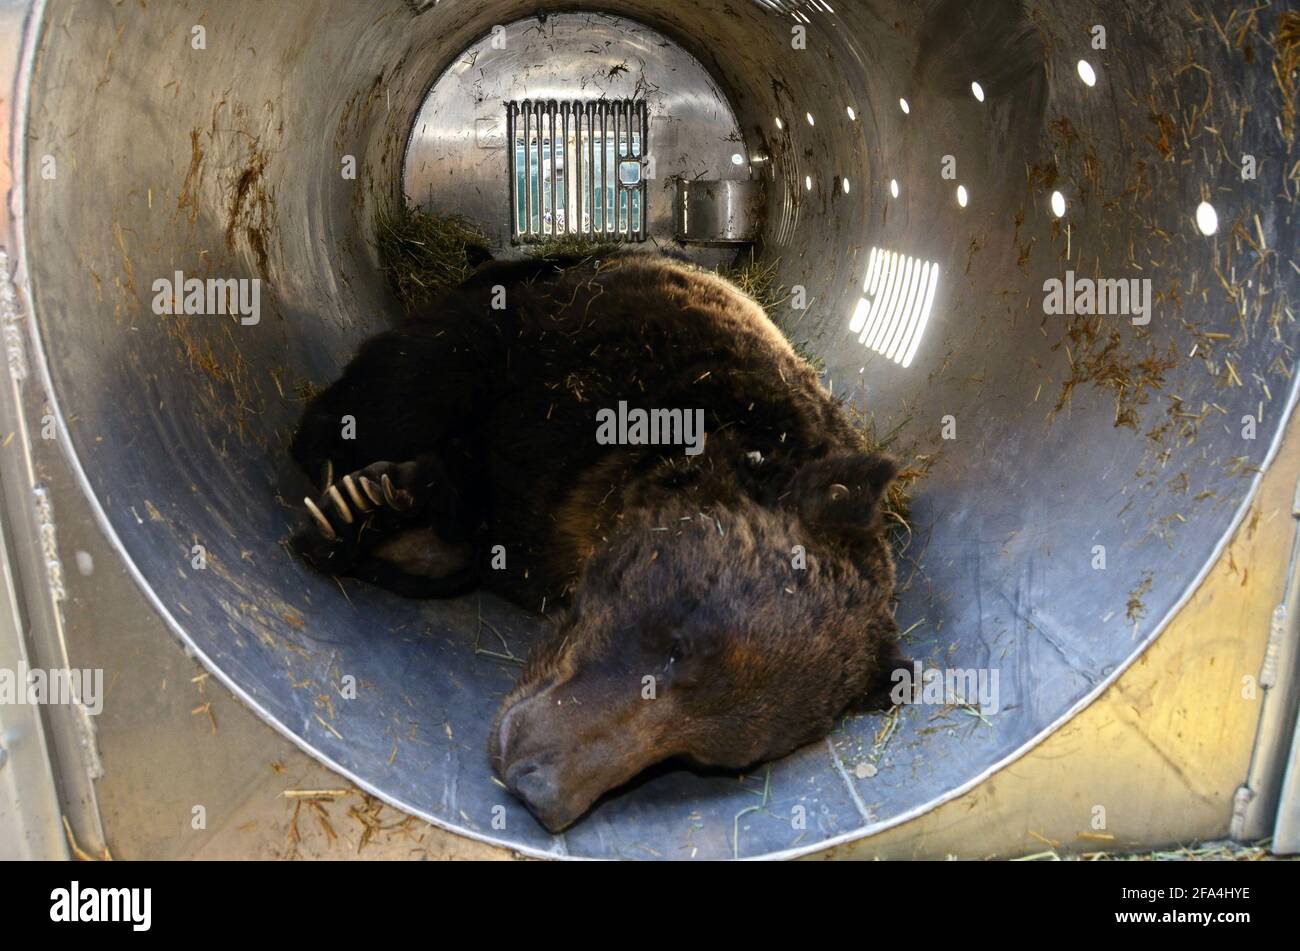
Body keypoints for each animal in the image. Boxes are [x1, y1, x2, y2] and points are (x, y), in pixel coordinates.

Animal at [291, 252, 904, 831]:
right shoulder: (561, 373)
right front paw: (356, 501)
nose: (540, 789)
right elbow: (422, 381)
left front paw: (374, 515)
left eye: (700, 756)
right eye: (679, 645)